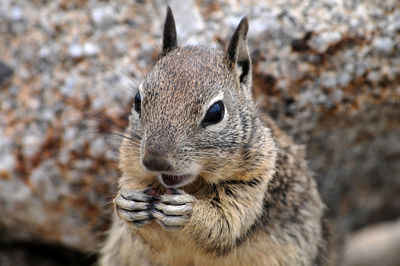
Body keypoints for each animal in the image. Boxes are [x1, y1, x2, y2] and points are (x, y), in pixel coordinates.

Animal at [98, 6, 336, 266]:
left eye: (216, 112)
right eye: (138, 100)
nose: (154, 161)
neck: (194, 184)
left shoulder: (253, 183)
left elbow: (223, 227)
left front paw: (189, 212)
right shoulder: (132, 170)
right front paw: (127, 204)